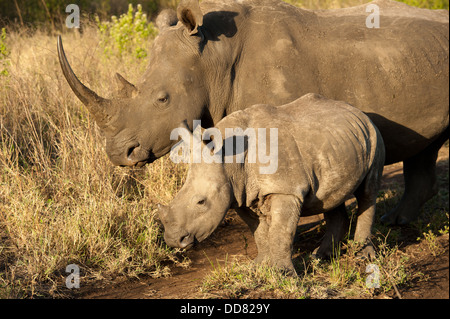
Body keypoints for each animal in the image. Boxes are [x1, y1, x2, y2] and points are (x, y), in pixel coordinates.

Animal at [158, 93, 384, 276]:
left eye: (201, 202)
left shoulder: (286, 190)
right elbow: (258, 231)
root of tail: (358, 110)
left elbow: (281, 231)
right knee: (330, 198)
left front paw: (282, 274)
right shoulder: (240, 194)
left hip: (374, 135)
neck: (230, 162)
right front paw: (258, 266)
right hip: (339, 142)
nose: (173, 240)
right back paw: (320, 257)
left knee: (368, 193)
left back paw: (363, 256)